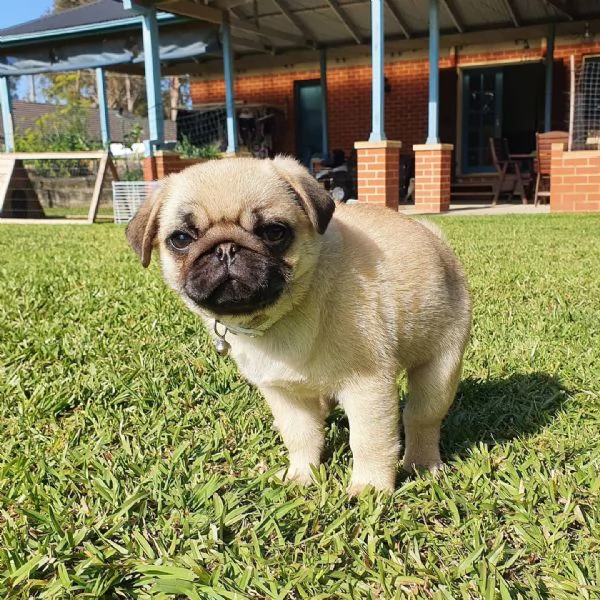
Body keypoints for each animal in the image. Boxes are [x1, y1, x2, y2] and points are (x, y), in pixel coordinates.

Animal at [126, 157, 472, 494]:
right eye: (181, 239)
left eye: (273, 232)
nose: (225, 248)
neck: (283, 313)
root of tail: (435, 240)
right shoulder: (284, 394)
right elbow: (301, 436)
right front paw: (302, 475)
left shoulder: (368, 387)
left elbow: (369, 441)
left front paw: (369, 488)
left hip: (439, 366)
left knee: (421, 418)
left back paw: (421, 463)